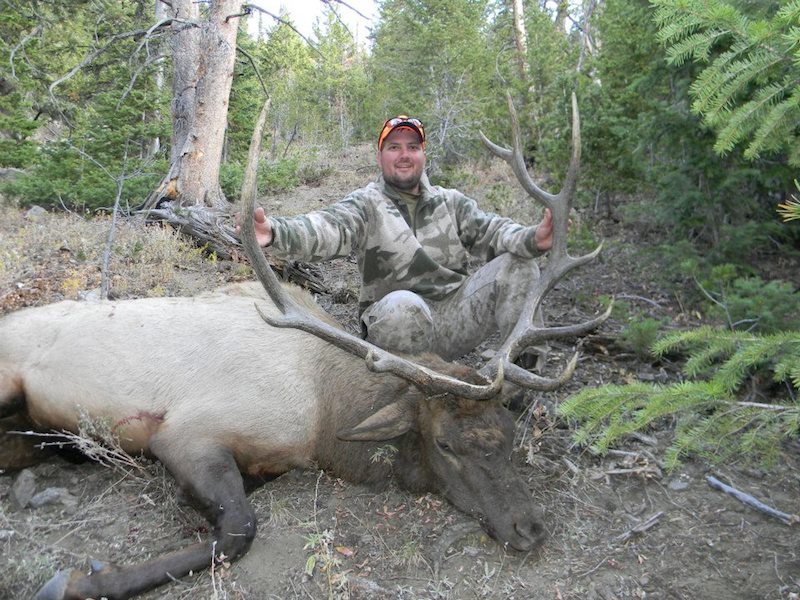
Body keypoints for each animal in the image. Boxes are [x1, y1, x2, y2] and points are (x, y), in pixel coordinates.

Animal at [0, 94, 608, 600]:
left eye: (507, 434)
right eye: (446, 444)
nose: (530, 529)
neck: (324, 415)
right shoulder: (186, 432)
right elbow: (240, 529)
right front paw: (78, 581)